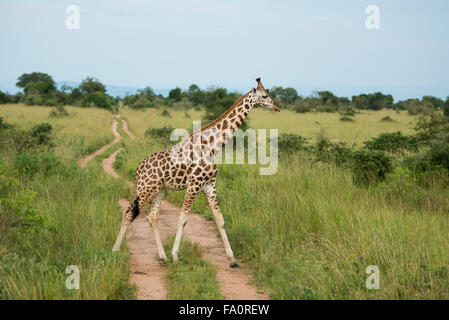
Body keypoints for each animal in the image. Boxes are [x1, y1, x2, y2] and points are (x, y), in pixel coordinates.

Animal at [112, 78, 278, 268]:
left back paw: (162, 256)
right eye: (264, 95)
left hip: (159, 190)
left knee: (151, 217)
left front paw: (232, 259)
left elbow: (220, 219)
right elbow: (182, 219)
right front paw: (176, 256)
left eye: (269, 93)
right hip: (146, 188)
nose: (277, 107)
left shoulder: (209, 185)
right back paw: (115, 251)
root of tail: (139, 168)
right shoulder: (194, 184)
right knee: (128, 213)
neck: (212, 146)